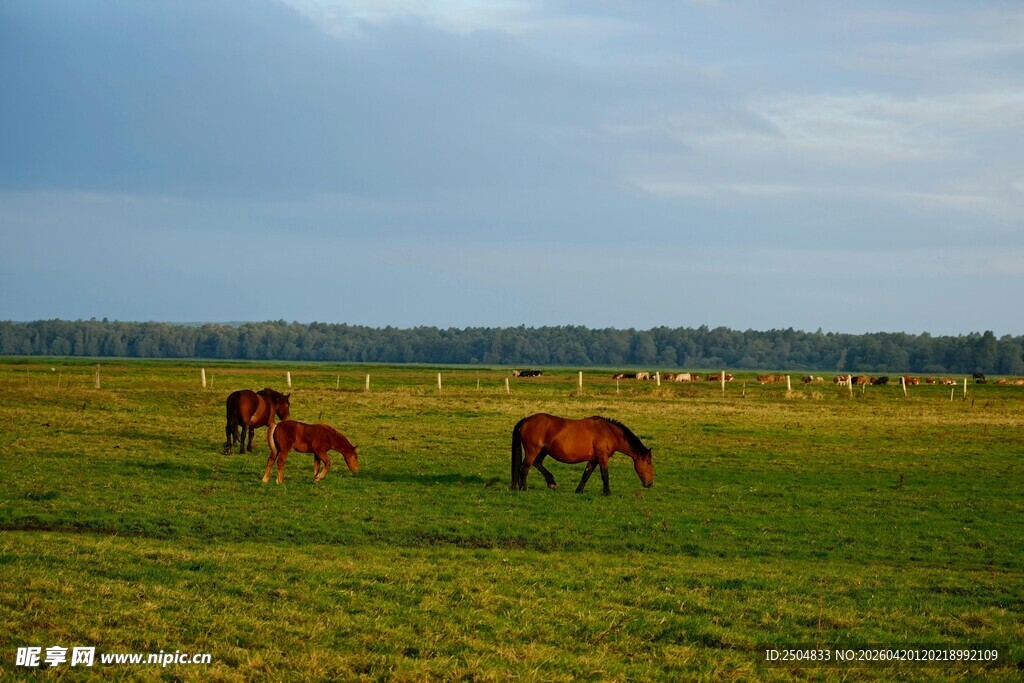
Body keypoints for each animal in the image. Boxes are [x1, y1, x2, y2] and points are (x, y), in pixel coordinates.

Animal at [510, 413, 653, 496]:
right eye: (648, 462)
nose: (650, 484)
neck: (608, 431)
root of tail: (526, 421)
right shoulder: (602, 457)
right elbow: (605, 475)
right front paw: (607, 492)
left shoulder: (594, 459)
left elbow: (586, 474)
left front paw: (579, 490)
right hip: (532, 451)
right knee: (524, 468)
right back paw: (523, 489)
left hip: (542, 451)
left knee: (536, 463)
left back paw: (551, 482)